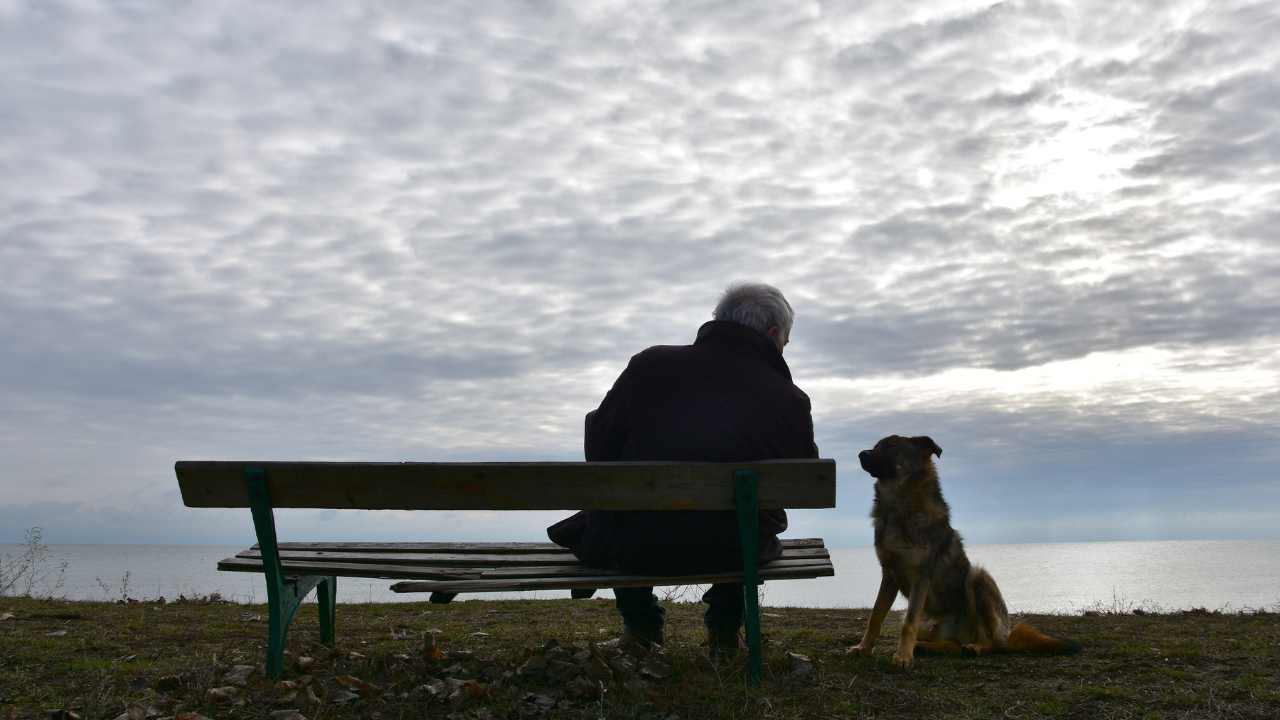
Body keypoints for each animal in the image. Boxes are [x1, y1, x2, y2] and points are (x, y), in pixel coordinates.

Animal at [849, 435, 1080, 666]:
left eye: (891, 446)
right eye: (877, 445)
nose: (861, 454)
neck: (897, 507)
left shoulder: (920, 577)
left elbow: (909, 622)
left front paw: (903, 657)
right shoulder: (889, 575)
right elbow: (875, 616)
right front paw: (863, 648)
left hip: (977, 579)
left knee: (993, 644)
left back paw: (974, 648)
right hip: (931, 624)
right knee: (952, 644)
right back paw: (926, 646)